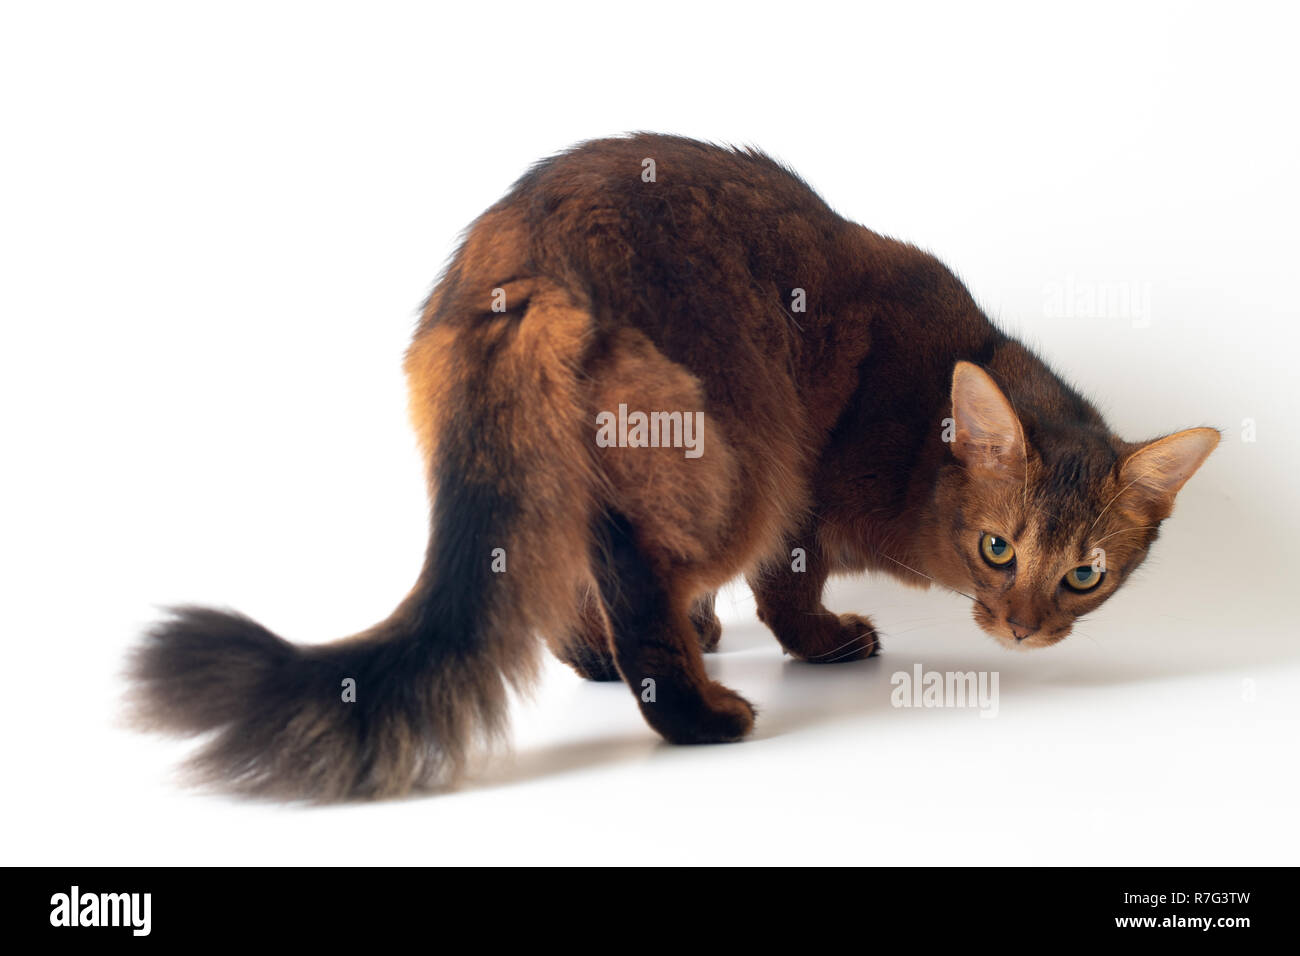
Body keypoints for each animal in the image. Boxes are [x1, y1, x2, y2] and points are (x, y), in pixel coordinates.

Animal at [124, 132, 1216, 801]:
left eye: (1085, 575)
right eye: (998, 549)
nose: (1026, 630)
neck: (922, 429)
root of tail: (522, 259)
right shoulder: (803, 502)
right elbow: (788, 591)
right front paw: (820, 641)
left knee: (573, 578)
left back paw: (613, 657)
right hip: (742, 451)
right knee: (641, 580)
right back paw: (694, 709)